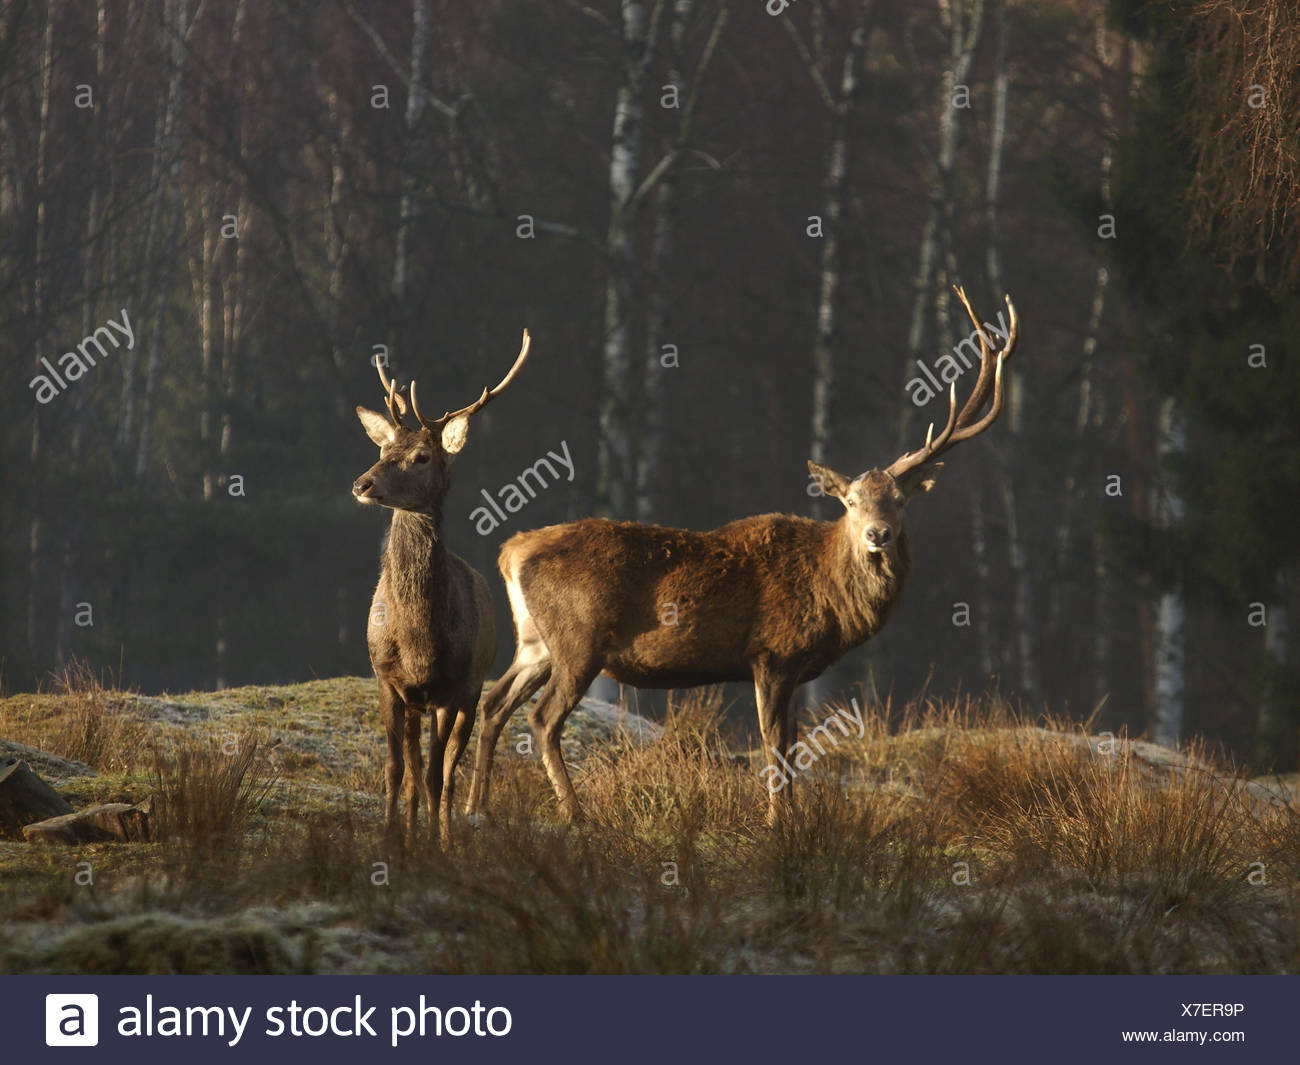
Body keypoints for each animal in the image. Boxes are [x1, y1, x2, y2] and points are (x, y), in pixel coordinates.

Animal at [352, 330, 532, 845]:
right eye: (381, 452)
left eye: (422, 457)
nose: (362, 483)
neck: (418, 642)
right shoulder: (388, 680)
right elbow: (397, 770)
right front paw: (392, 839)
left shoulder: (455, 685)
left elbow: (437, 773)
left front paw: (438, 845)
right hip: (421, 702)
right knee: (417, 768)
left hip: (469, 691)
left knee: (449, 767)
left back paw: (445, 833)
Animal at [464, 289, 1019, 825]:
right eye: (851, 501)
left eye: (900, 500)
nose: (878, 534)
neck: (832, 601)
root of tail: (510, 552)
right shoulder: (771, 652)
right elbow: (774, 745)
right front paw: (777, 822)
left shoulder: (795, 669)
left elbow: (792, 745)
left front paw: (791, 818)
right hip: (579, 638)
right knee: (542, 718)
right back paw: (576, 814)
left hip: (536, 641)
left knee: (493, 703)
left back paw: (476, 807)